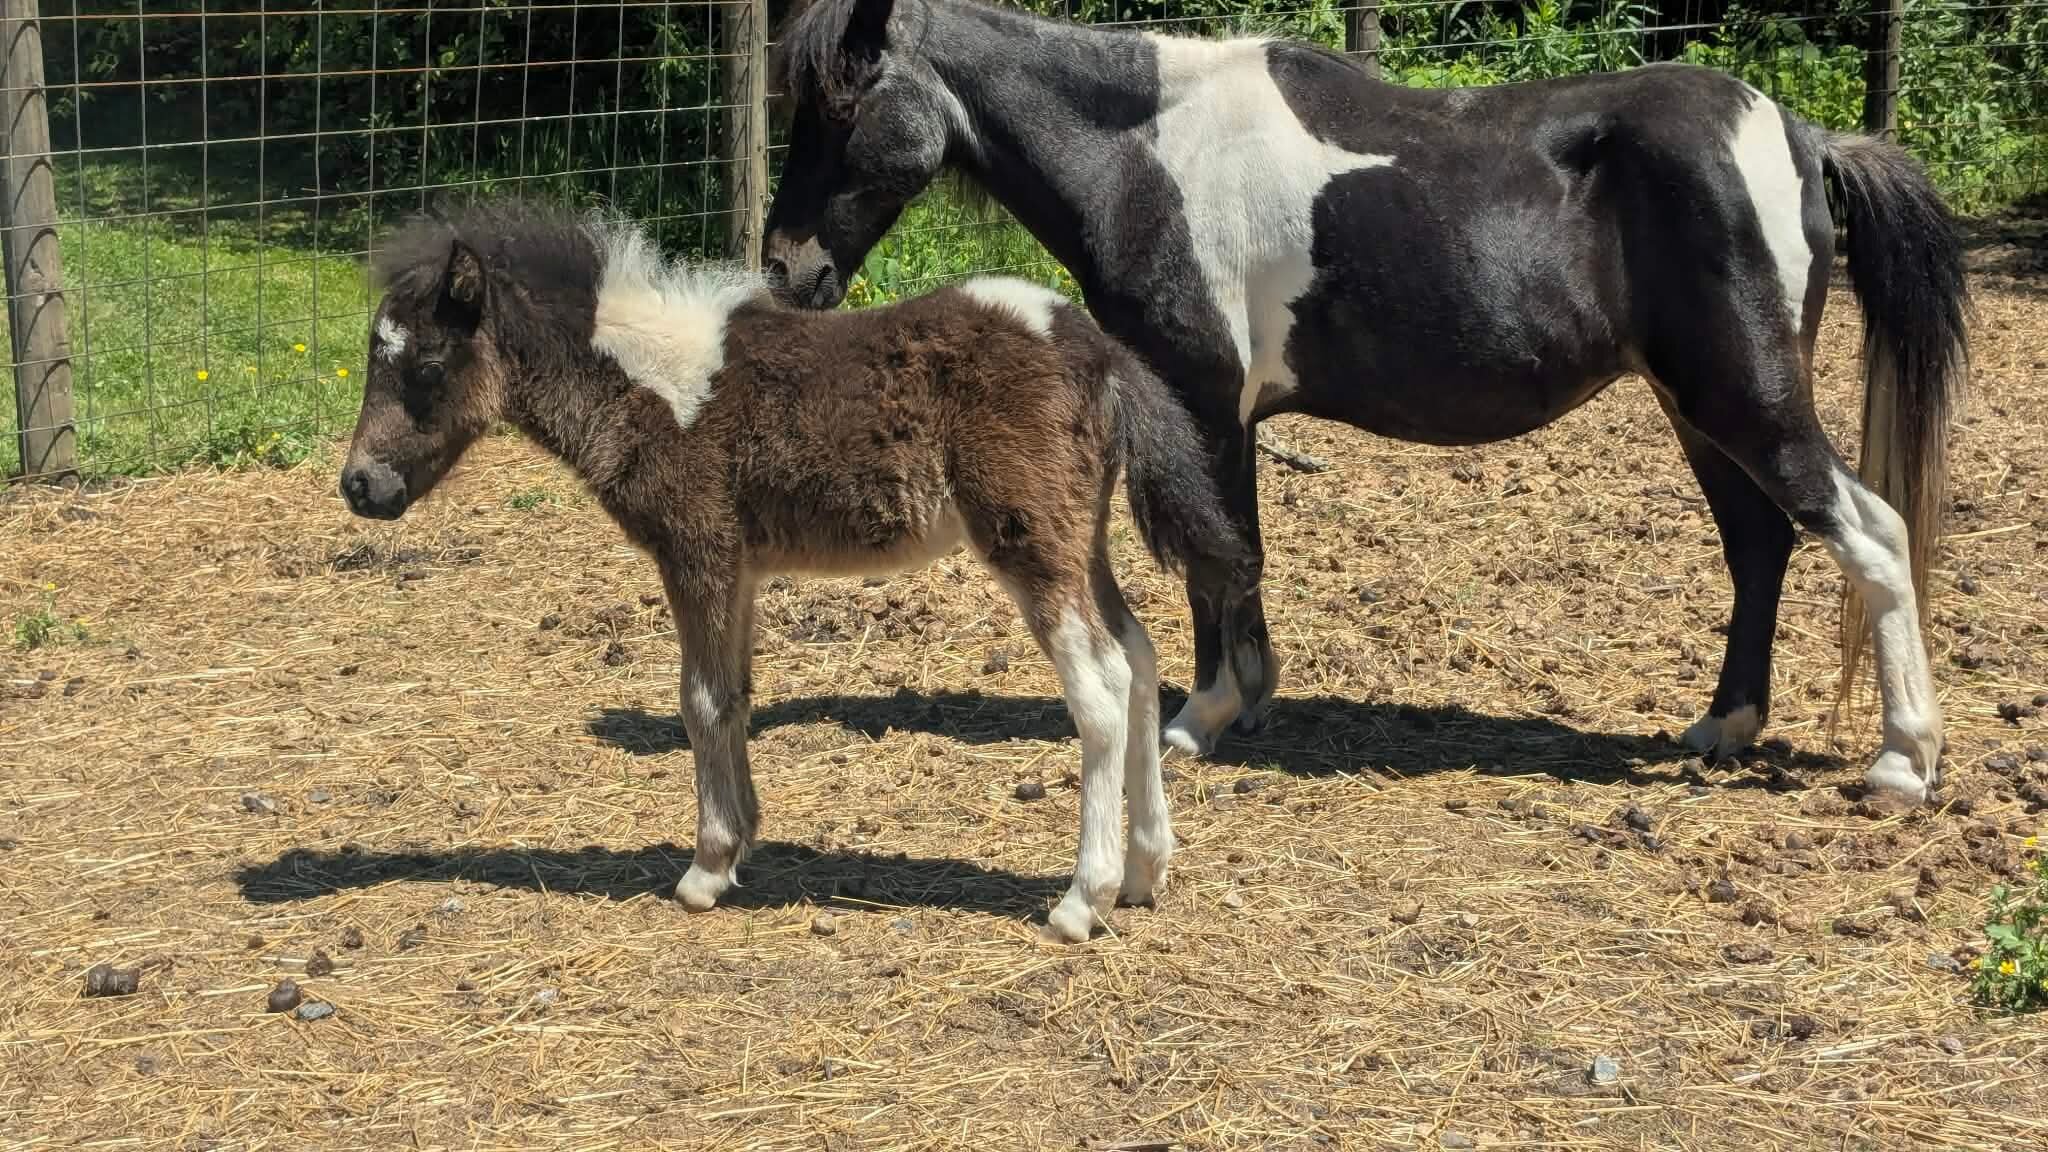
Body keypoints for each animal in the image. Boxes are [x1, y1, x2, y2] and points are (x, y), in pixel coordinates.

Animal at [339, 200, 1255, 941]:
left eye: (424, 366)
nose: (359, 486)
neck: (649, 382)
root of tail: (1096, 349)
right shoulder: (742, 568)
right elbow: (736, 695)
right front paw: (741, 843)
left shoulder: (698, 549)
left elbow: (702, 700)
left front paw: (706, 868)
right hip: (1080, 537)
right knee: (1139, 658)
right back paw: (1145, 871)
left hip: (1027, 538)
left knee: (1100, 684)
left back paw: (1081, 900)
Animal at [760, 0, 1970, 803]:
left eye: (843, 99)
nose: (786, 269)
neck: (1142, 154)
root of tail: (1798, 136)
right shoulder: (1227, 418)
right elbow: (1233, 555)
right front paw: (1246, 700)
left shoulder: (1200, 401)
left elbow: (1216, 558)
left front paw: (1202, 718)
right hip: (1698, 411)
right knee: (1761, 547)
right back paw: (1722, 727)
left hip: (1746, 401)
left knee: (1869, 534)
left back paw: (1901, 761)